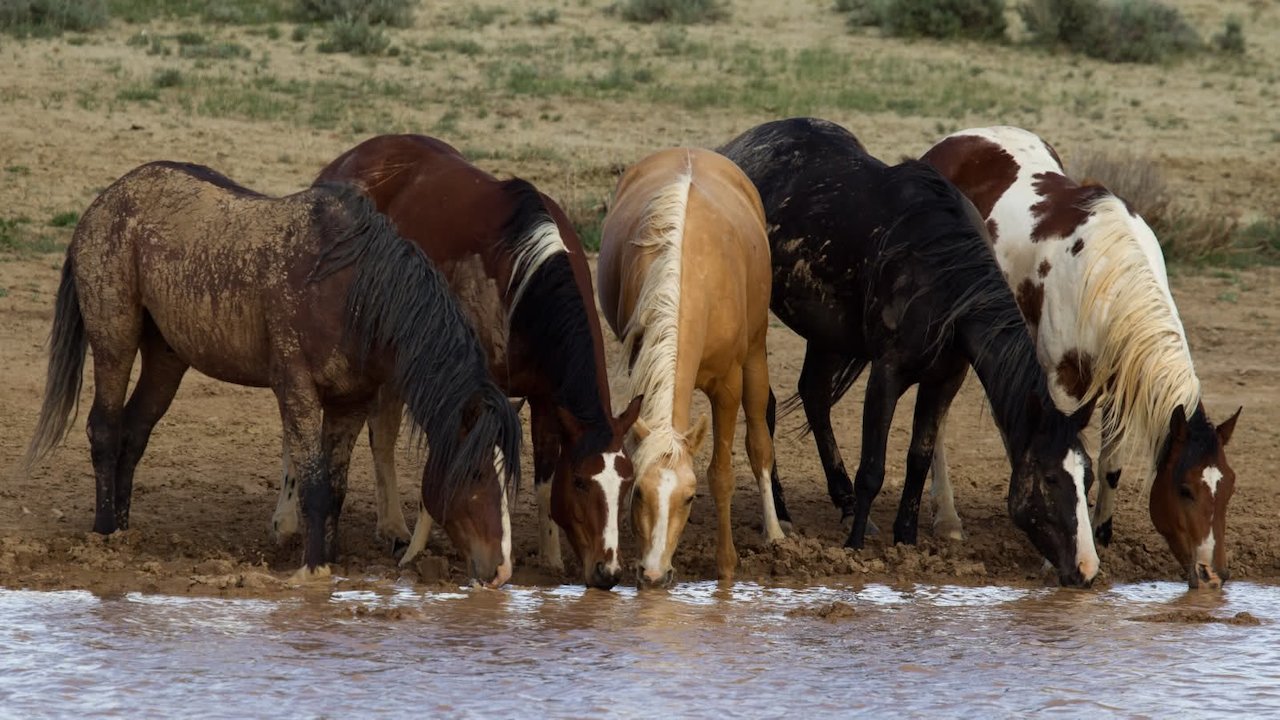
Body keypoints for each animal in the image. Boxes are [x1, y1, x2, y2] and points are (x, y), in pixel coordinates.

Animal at [22, 161, 522, 587]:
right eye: (476, 471)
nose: (500, 570)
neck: (352, 292)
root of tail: (103, 201)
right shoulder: (296, 389)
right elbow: (314, 484)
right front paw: (313, 570)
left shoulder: (350, 402)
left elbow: (335, 487)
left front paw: (329, 562)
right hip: (115, 340)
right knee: (105, 430)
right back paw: (105, 534)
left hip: (166, 357)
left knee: (133, 431)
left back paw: (126, 533)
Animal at [302, 134, 642, 590]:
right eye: (581, 482)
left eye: (626, 483)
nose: (608, 572)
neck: (522, 282)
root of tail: (343, 163)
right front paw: (417, 554)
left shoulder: (546, 399)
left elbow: (543, 476)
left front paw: (551, 557)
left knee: (382, 433)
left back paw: (391, 527)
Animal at [597, 147, 786, 586]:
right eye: (639, 493)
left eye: (688, 498)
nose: (652, 574)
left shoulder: (728, 386)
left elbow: (722, 473)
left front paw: (726, 564)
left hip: (756, 354)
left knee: (759, 443)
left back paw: (774, 532)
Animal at [719, 118, 1099, 587]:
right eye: (1049, 478)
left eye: (1088, 477)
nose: (1087, 568)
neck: (940, 277)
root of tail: (737, 147)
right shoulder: (887, 373)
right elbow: (873, 467)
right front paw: (855, 546)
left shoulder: (945, 379)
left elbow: (918, 456)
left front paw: (906, 538)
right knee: (766, 408)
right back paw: (786, 513)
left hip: (825, 333)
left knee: (814, 396)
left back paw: (843, 502)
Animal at [923, 126, 1241, 589]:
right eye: (1184, 489)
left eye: (1229, 487)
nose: (1212, 573)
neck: (1105, 278)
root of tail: (954, 142)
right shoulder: (1062, 382)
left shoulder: (1118, 385)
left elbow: (1109, 466)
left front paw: (1101, 532)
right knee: (939, 417)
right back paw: (947, 519)